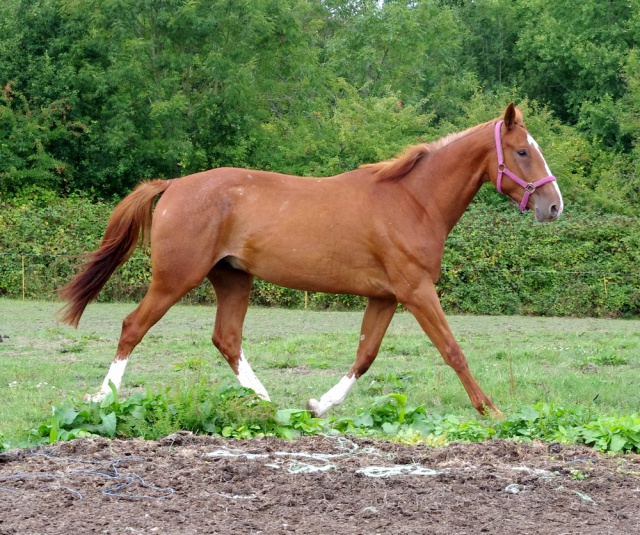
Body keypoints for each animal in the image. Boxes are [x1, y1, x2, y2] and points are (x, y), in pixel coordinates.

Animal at [57, 103, 564, 418]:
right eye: (522, 151)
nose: (555, 206)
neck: (412, 201)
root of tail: (174, 185)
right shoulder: (417, 291)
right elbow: (453, 350)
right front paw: (492, 411)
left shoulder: (386, 297)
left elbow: (365, 355)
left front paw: (318, 405)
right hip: (175, 278)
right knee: (133, 327)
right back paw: (103, 397)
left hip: (232, 279)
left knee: (226, 338)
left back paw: (263, 400)